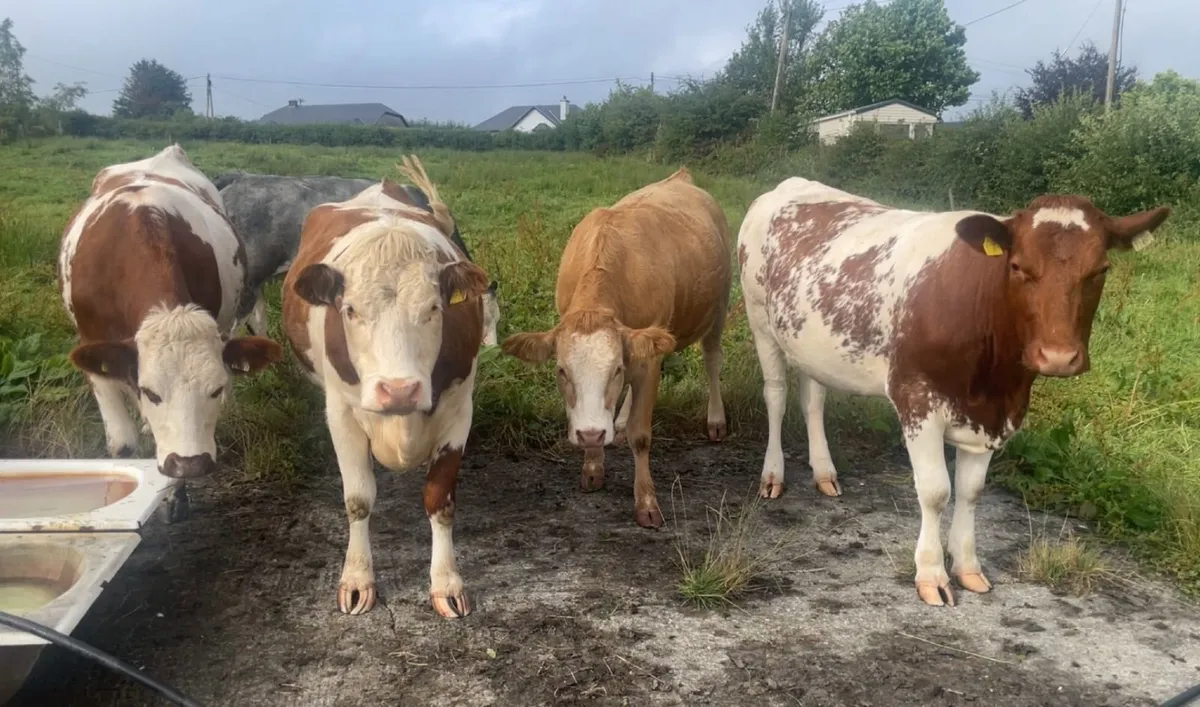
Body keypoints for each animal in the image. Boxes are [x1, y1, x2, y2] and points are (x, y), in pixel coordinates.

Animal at [57, 144, 283, 505]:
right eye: (152, 391)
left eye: (216, 389)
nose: (190, 463)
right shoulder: (93, 348)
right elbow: (122, 445)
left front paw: (176, 496)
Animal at [281, 156, 491, 618]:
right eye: (350, 309)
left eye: (434, 308)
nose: (399, 390)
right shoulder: (340, 412)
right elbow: (359, 498)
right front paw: (358, 577)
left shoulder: (458, 409)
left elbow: (439, 499)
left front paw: (446, 582)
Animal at [501, 167, 732, 529]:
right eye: (561, 371)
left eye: (615, 370)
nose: (592, 435)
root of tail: (681, 178)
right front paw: (593, 463)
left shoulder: (647, 359)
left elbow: (641, 434)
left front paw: (646, 502)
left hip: (719, 306)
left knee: (712, 360)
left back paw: (715, 420)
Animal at [737, 177, 1170, 607]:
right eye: (1017, 267)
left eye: (1100, 269)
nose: (1059, 357)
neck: (994, 381)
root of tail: (790, 184)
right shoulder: (917, 400)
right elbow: (935, 492)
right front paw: (932, 573)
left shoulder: (994, 416)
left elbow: (970, 491)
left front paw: (967, 566)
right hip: (761, 321)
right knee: (776, 395)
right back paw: (772, 474)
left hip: (811, 342)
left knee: (813, 399)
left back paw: (824, 471)